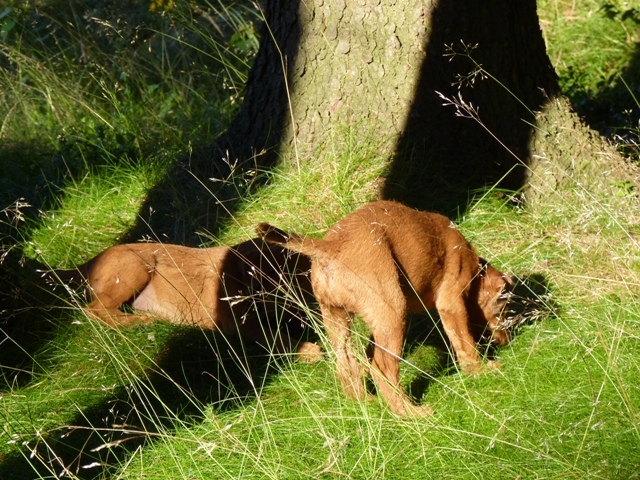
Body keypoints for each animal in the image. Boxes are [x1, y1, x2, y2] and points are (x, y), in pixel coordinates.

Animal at [49, 238, 321, 360]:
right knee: (93, 309)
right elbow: (275, 337)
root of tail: (90, 261)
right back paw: (137, 323)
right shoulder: (239, 322)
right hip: (138, 264)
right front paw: (306, 349)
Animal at [257, 200, 512, 415]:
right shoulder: (450, 302)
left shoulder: (376, 321)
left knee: (345, 362)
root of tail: (328, 246)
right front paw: (482, 370)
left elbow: (368, 352)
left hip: (340, 317)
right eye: (504, 309)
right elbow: (465, 343)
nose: (507, 341)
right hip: (393, 312)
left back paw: (363, 401)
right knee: (383, 368)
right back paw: (411, 413)